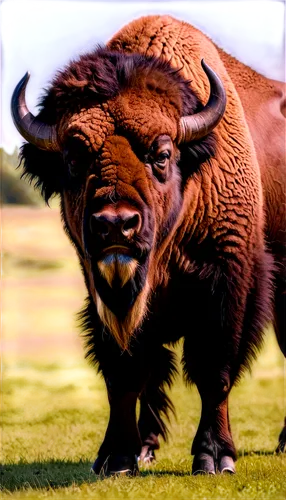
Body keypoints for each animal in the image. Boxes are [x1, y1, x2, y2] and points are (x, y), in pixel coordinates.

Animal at [10, 14, 284, 476]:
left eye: (162, 154)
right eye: (73, 157)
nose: (115, 225)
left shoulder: (228, 285)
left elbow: (213, 371)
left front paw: (215, 458)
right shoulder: (103, 292)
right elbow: (125, 374)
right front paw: (118, 456)